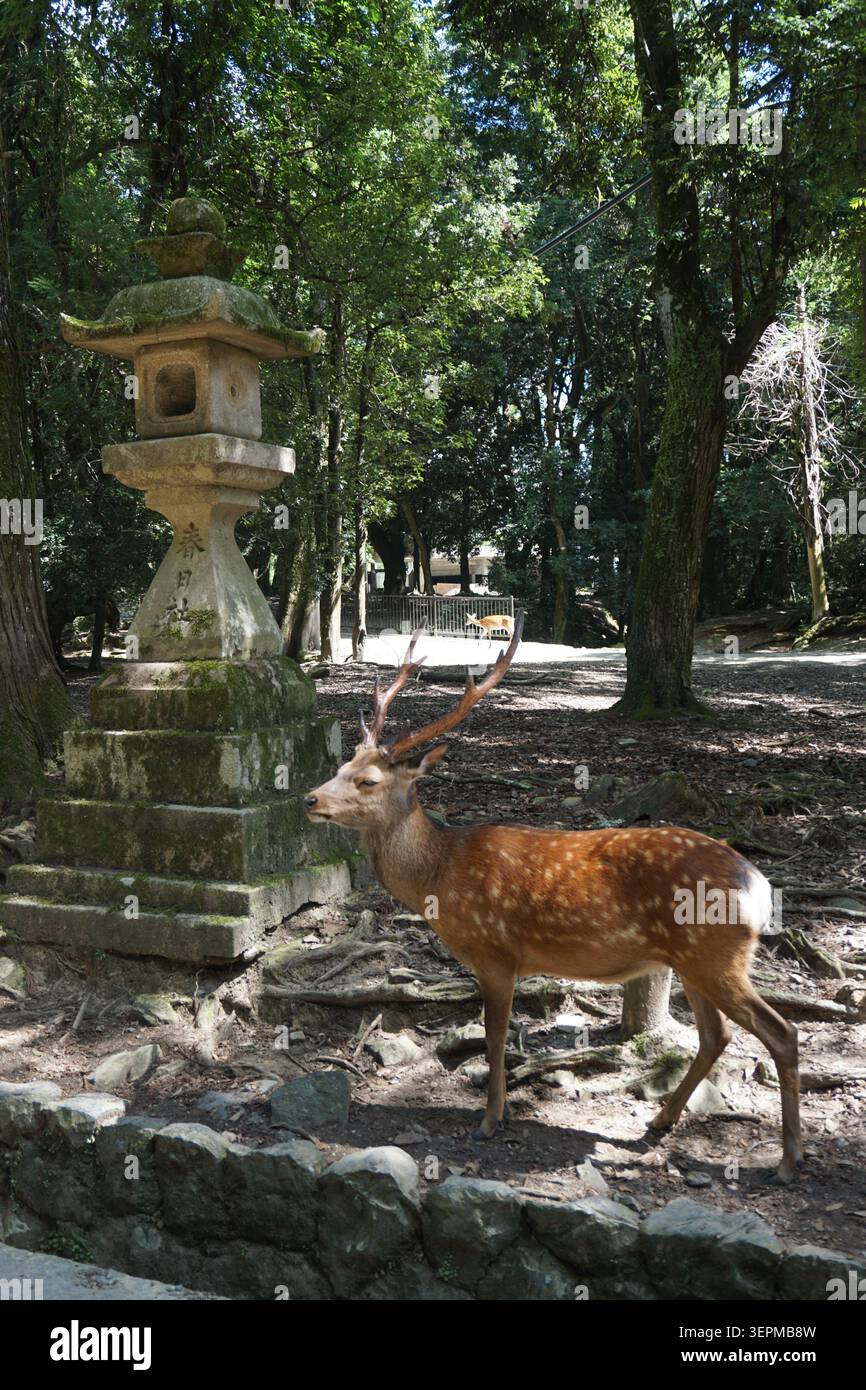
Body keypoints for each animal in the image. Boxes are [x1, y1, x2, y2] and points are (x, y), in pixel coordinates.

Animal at [304, 615, 802, 1184]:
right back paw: (660, 1121)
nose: (310, 798)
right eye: (343, 765)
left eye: (367, 780)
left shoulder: (497, 952)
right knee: (716, 1035)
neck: (440, 874)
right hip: (695, 960)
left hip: (716, 954)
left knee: (781, 1033)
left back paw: (788, 1161)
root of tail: (758, 885)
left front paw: (490, 1119)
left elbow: (495, 1034)